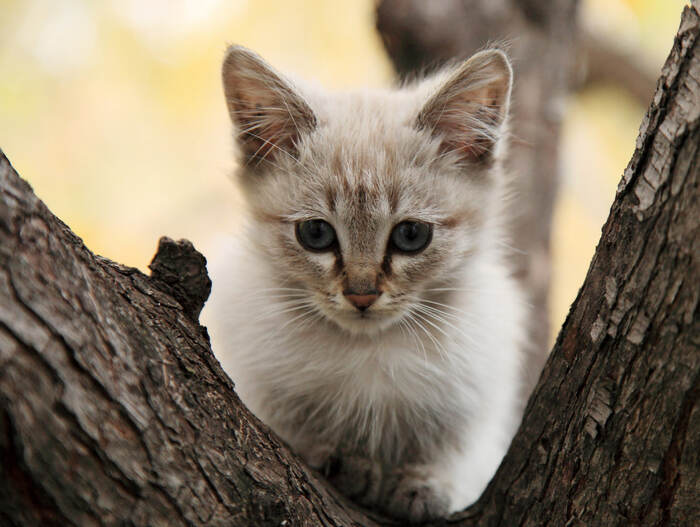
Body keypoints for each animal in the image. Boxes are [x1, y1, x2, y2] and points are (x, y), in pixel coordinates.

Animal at [205, 45, 528, 524]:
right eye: (315, 234)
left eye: (411, 235)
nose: (361, 295)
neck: (370, 355)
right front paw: (348, 460)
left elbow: (456, 457)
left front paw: (426, 483)